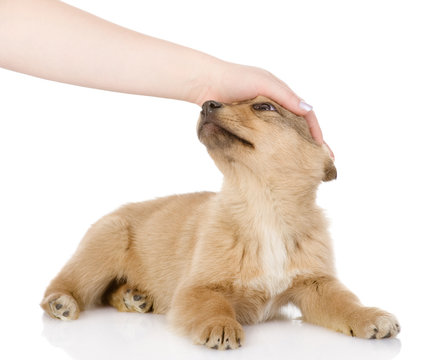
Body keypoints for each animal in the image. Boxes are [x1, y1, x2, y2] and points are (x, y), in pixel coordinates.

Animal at [41, 97, 400, 350]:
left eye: (263, 106)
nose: (207, 103)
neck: (263, 209)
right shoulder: (196, 288)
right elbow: (213, 304)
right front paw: (220, 325)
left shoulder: (316, 285)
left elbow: (346, 302)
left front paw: (370, 316)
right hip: (105, 242)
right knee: (65, 283)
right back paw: (61, 302)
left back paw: (133, 297)